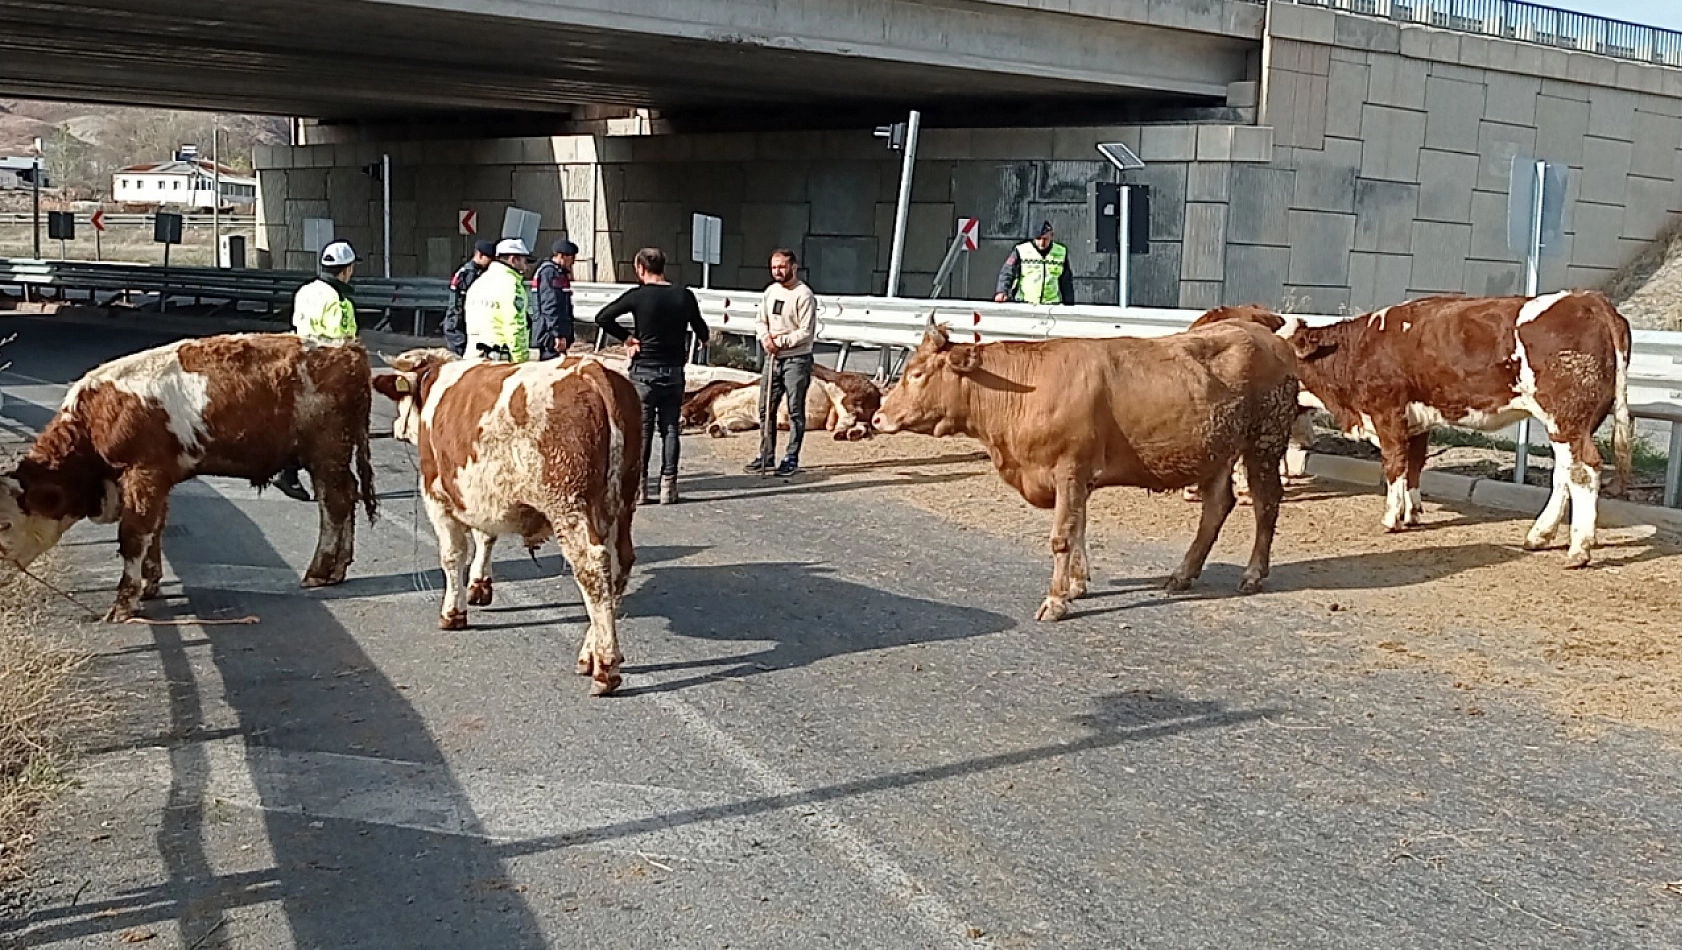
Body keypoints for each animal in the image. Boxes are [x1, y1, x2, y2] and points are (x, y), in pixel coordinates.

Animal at [0, 332, 378, 622]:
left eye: (4, 523)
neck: (95, 419)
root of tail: (347, 348)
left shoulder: (143, 474)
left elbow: (134, 535)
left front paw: (124, 603)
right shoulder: (156, 481)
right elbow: (155, 529)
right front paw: (150, 584)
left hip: (326, 453)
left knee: (334, 504)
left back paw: (319, 571)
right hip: (334, 457)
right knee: (347, 497)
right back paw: (338, 569)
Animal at [371, 348, 639, 696]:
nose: (394, 427)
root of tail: (590, 368)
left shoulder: (436, 494)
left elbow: (452, 555)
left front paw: (453, 612)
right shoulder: (482, 495)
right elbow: (486, 537)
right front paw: (479, 585)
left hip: (570, 507)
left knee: (593, 571)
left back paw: (605, 668)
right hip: (621, 505)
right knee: (619, 567)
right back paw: (589, 655)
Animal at [874, 314, 1291, 618]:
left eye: (917, 374)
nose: (878, 417)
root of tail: (1262, 333)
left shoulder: (1070, 468)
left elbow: (1062, 536)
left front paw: (1056, 600)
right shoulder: (1077, 477)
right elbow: (1078, 528)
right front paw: (1076, 585)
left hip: (1264, 442)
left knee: (1266, 503)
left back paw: (1253, 574)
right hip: (1217, 451)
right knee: (1217, 505)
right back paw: (1182, 574)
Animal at [1271, 289, 1628, 568]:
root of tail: (1587, 298)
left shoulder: (1388, 415)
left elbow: (1394, 465)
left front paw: (1391, 518)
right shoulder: (1417, 420)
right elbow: (1414, 466)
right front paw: (1412, 513)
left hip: (1567, 418)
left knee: (1584, 472)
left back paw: (1578, 550)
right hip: (1572, 423)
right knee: (1565, 474)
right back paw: (1540, 536)